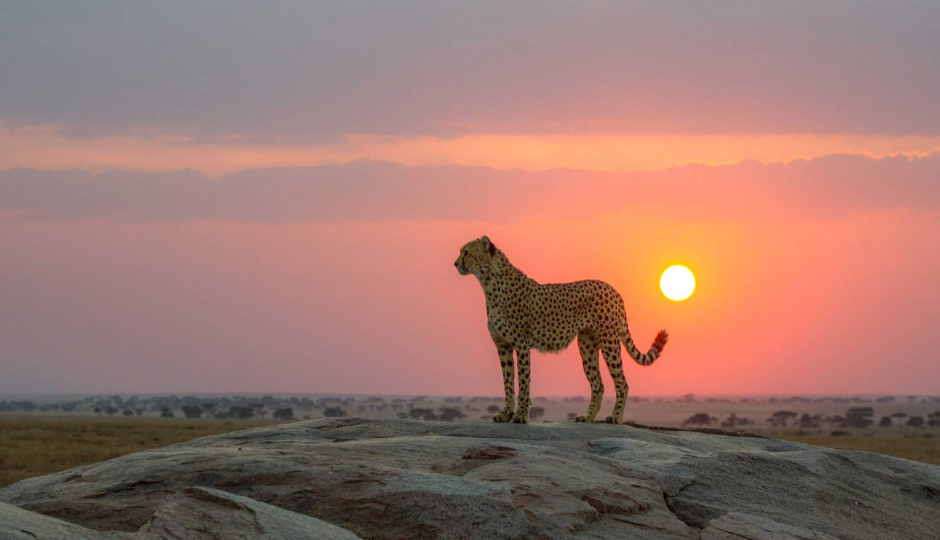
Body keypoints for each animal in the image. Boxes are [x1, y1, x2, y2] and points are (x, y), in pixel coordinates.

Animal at [456, 236, 668, 426]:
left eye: (466, 252)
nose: (455, 263)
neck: (489, 283)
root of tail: (612, 289)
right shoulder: (503, 346)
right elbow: (508, 381)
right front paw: (506, 414)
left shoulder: (522, 345)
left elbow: (523, 382)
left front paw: (521, 416)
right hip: (587, 346)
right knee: (598, 384)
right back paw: (588, 417)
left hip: (609, 342)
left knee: (622, 383)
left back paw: (615, 418)